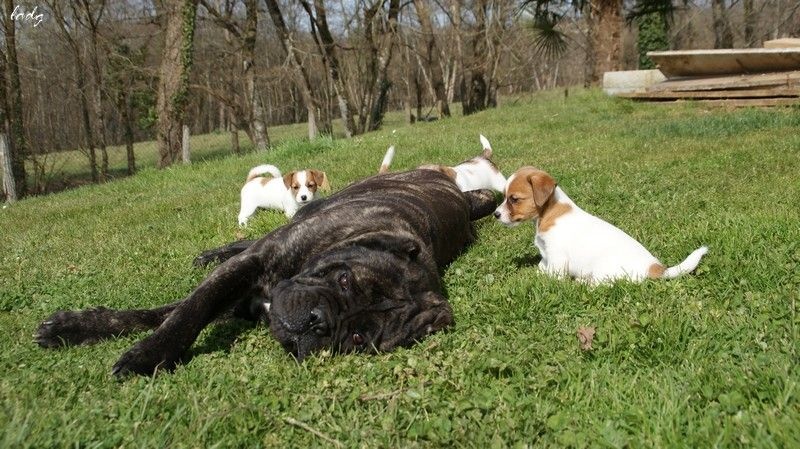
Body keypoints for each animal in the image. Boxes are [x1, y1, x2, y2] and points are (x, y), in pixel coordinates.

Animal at [35, 170, 497, 376]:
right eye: (344, 279)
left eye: (356, 338)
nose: (318, 322)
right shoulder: (249, 266)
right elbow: (182, 313)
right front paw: (137, 351)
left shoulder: (241, 301)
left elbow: (172, 312)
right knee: (244, 242)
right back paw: (210, 253)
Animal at [494, 166, 708, 284]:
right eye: (504, 197)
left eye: (514, 199)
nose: (495, 214)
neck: (549, 213)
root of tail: (654, 268)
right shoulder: (547, 256)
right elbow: (541, 266)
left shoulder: (557, 257)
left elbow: (553, 275)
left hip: (605, 272)